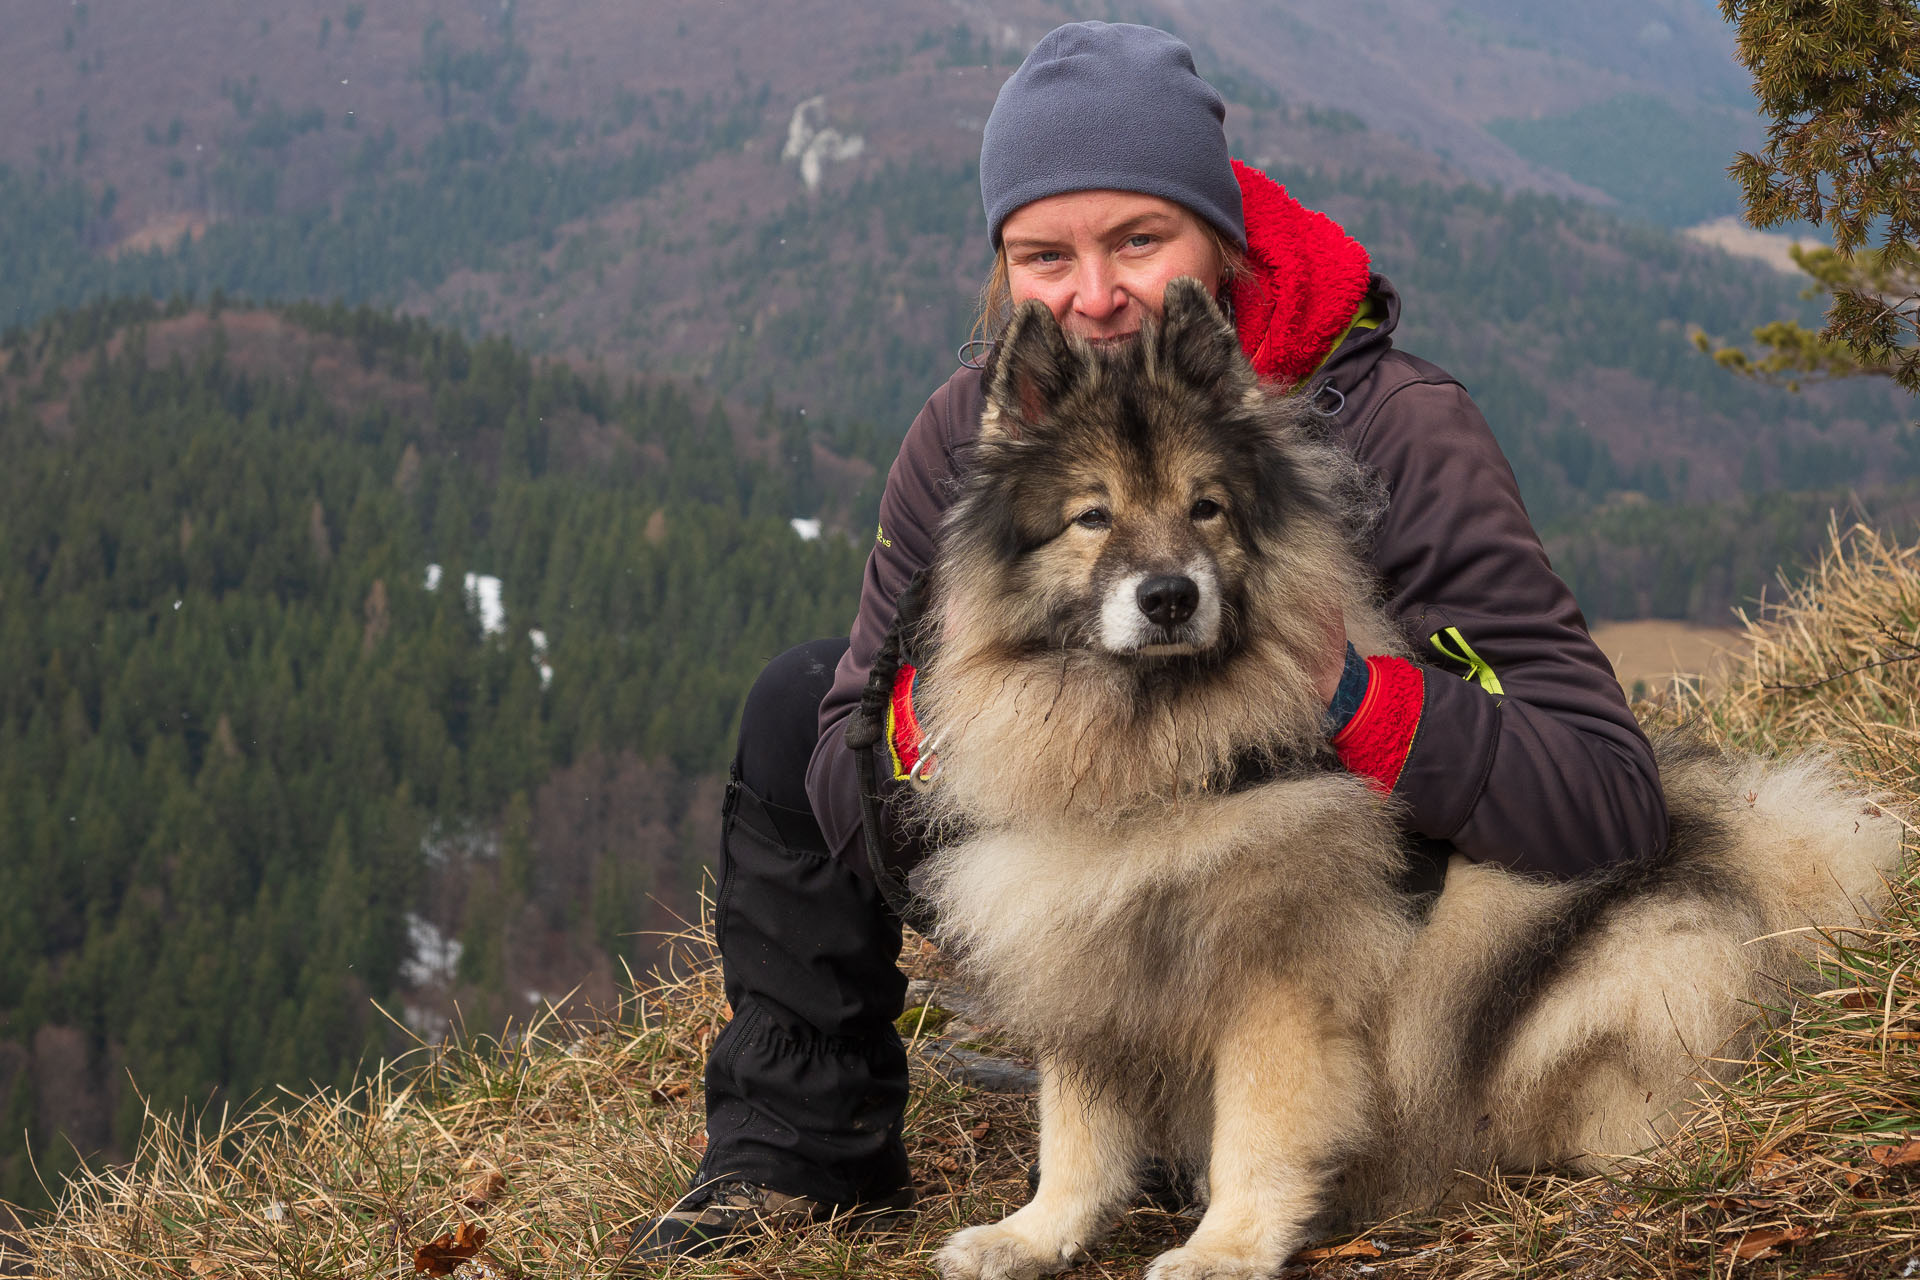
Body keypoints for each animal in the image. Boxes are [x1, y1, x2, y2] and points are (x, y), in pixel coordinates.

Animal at [906, 280, 1896, 1280]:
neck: (1163, 766)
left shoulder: (1278, 983)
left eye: (1206, 508)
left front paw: (1227, 1246)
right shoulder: (1083, 959)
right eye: (1093, 517)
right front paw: (1035, 1234)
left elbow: (1256, 1131)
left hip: (1632, 974)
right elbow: (1075, 1130)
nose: (1171, 596)